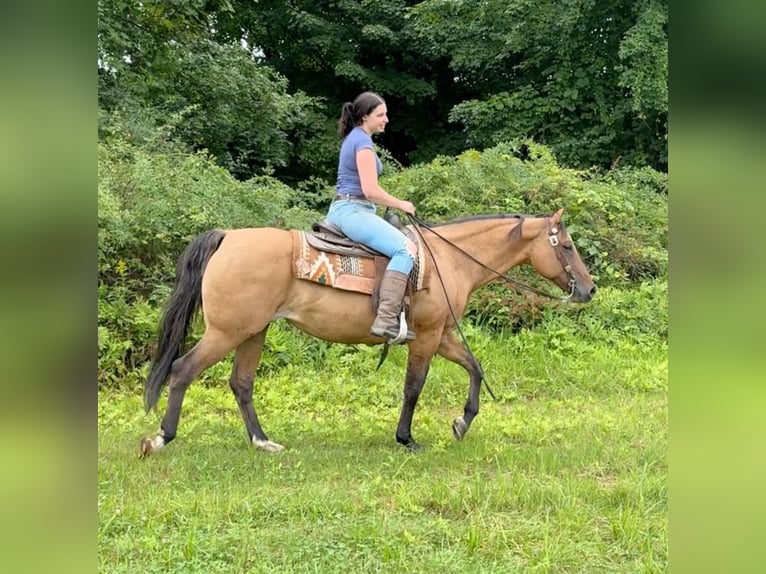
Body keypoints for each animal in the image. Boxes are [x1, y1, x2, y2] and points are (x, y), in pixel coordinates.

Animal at [140, 209, 600, 456]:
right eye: (567, 246)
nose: (589, 288)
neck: (449, 259)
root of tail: (228, 238)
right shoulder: (427, 336)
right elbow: (414, 387)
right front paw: (407, 438)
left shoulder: (442, 335)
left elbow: (475, 367)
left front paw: (462, 422)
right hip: (227, 331)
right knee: (182, 370)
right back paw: (162, 437)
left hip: (253, 331)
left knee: (241, 383)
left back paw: (263, 441)